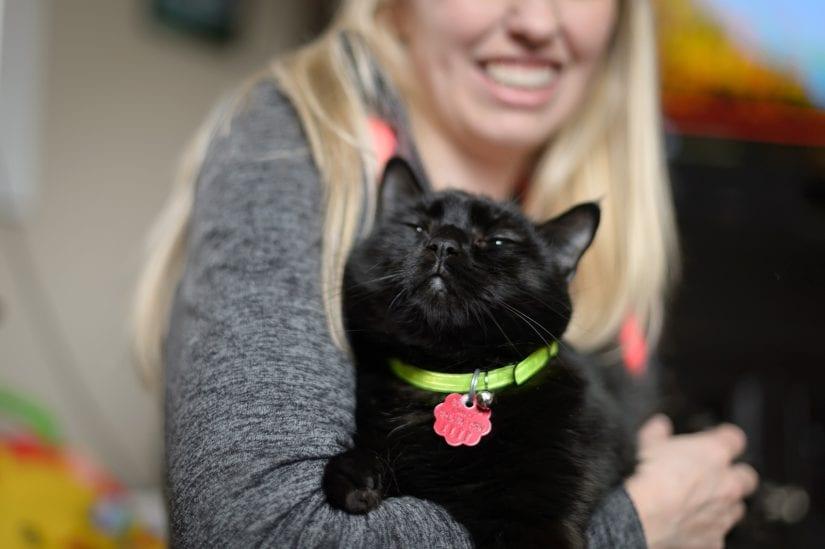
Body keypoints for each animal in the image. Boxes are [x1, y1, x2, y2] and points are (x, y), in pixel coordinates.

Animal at [326, 156, 640, 544]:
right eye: (417, 227)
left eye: (498, 241)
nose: (443, 244)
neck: (449, 376)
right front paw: (356, 475)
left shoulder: (540, 516)